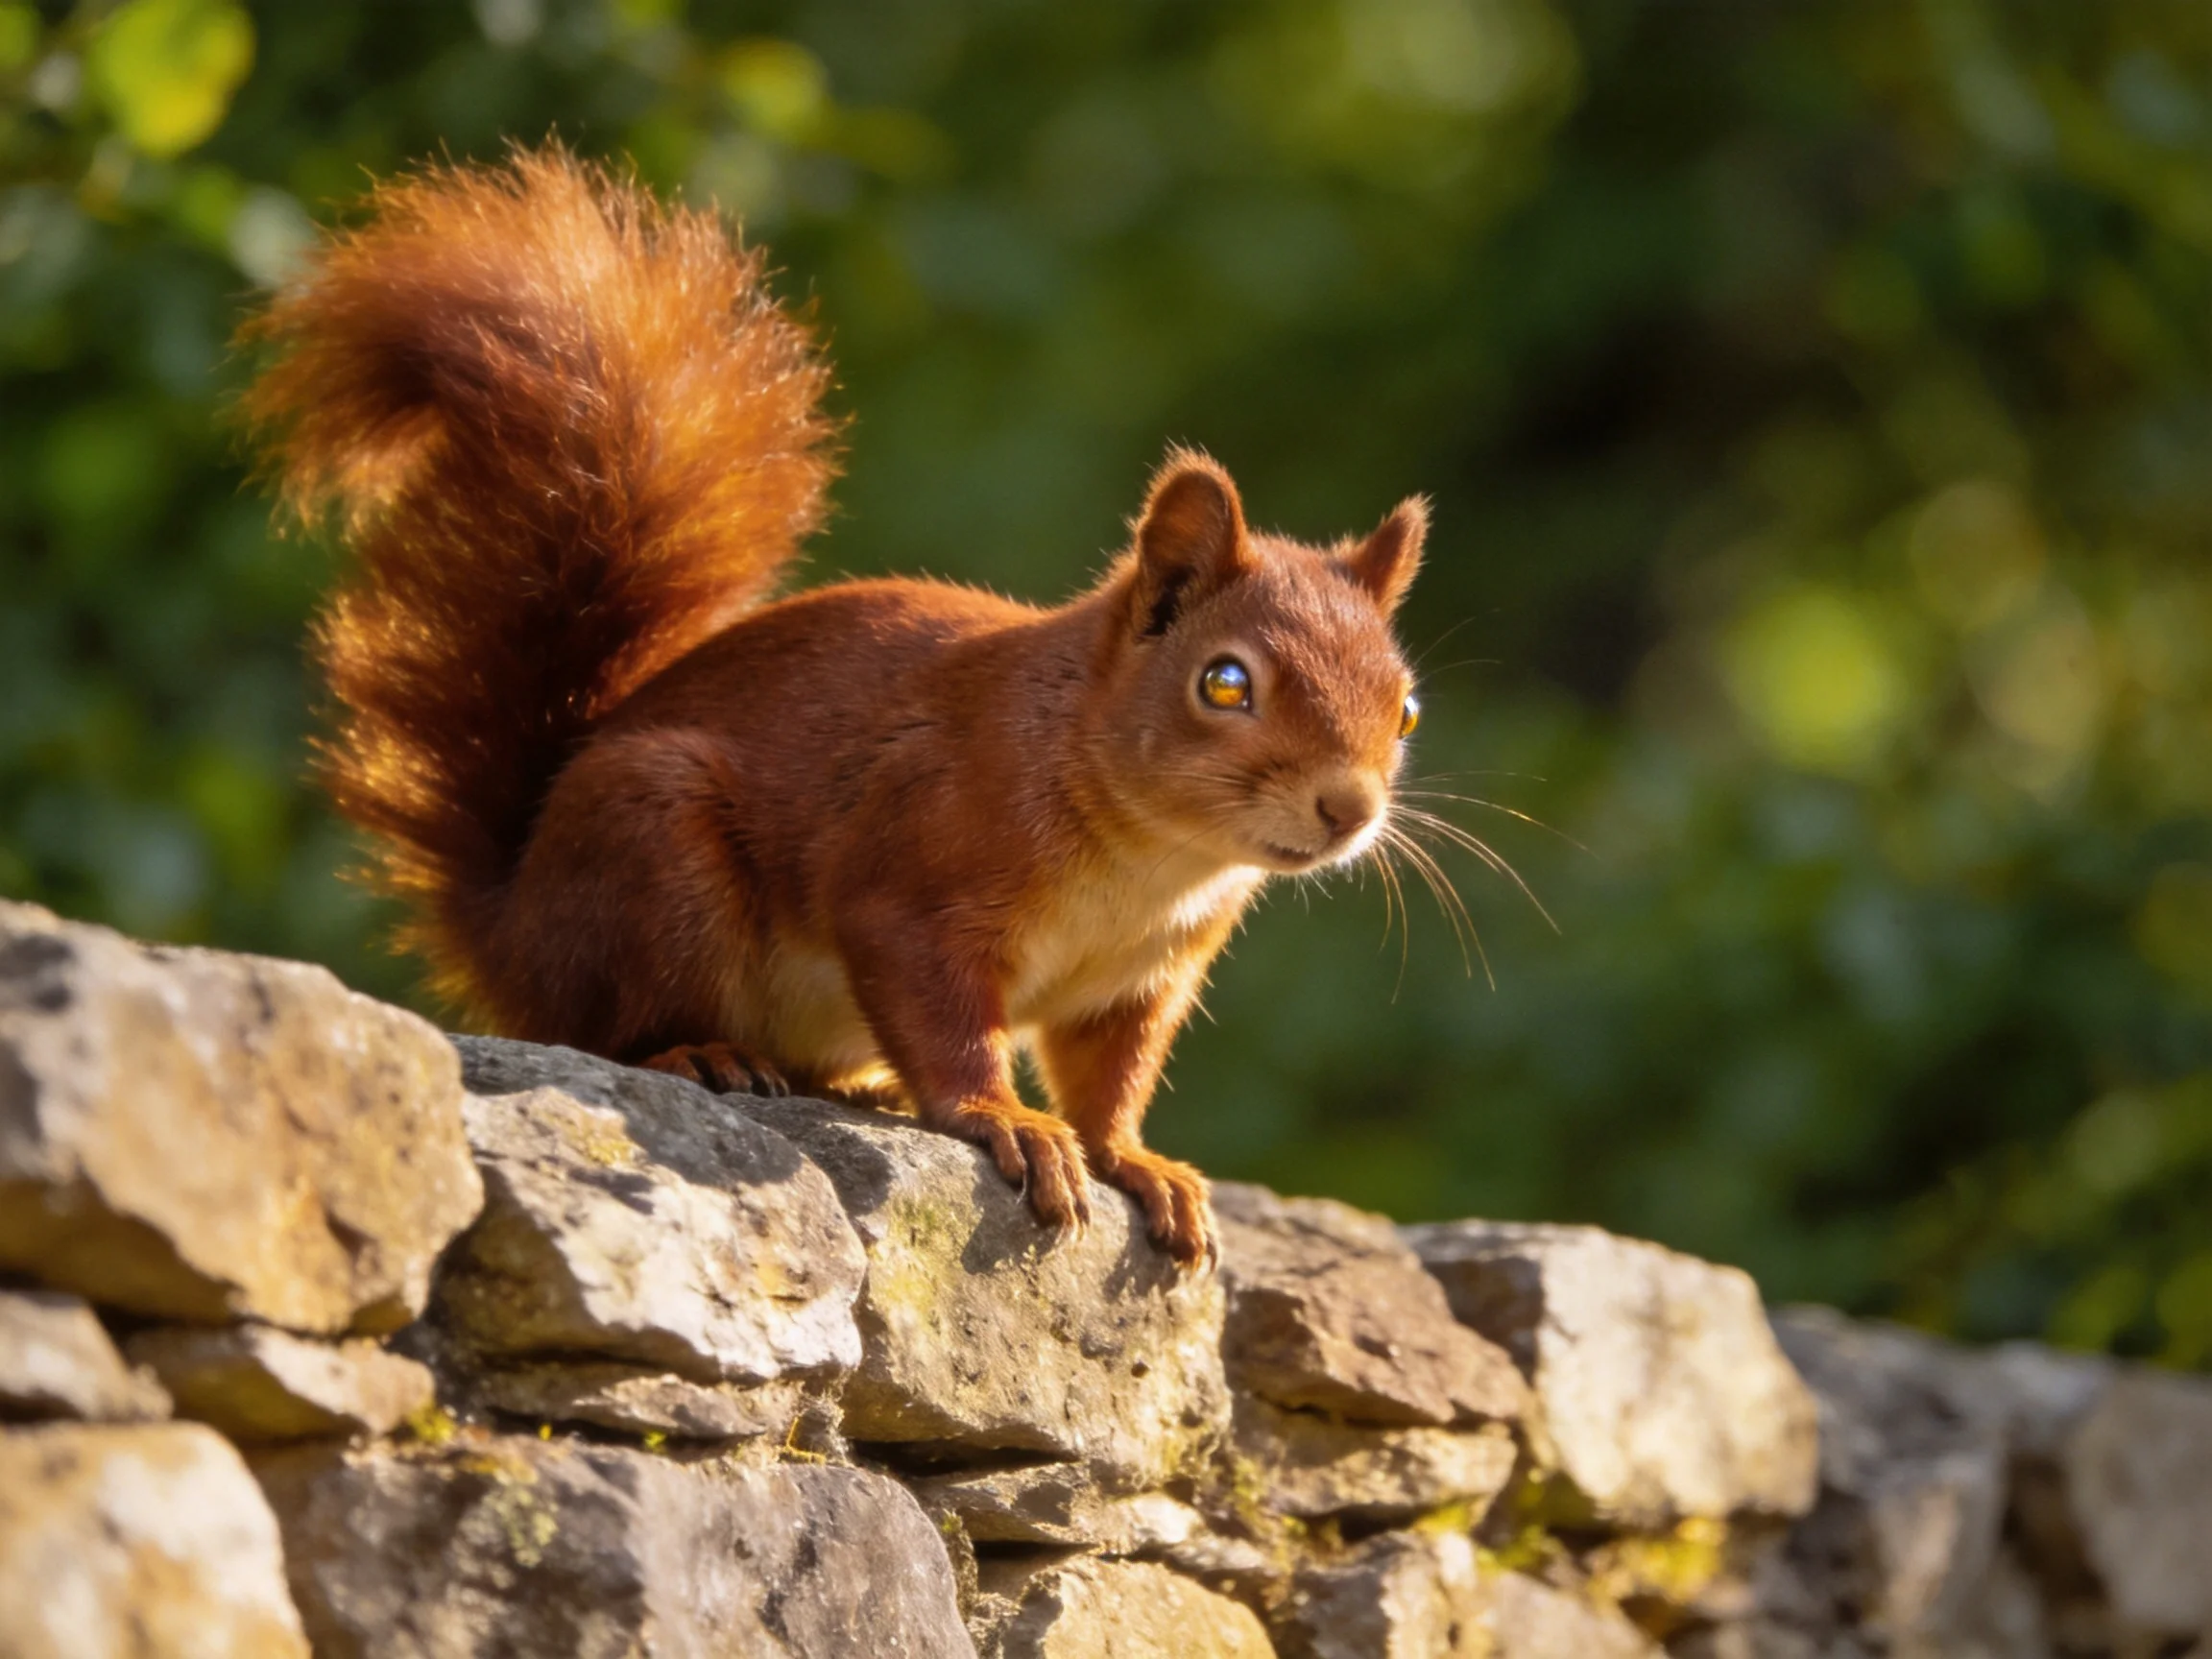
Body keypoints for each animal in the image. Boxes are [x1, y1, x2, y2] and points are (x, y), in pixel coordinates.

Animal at [239, 147, 1427, 1268]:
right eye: (1224, 683)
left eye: (1406, 708)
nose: (1349, 809)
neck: (1152, 857)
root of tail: (510, 924)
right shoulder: (914, 871)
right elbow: (940, 1013)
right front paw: (1004, 1119)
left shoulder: (1141, 983)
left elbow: (1110, 1081)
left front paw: (1138, 1162)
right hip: (650, 856)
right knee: (609, 1029)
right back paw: (702, 1053)